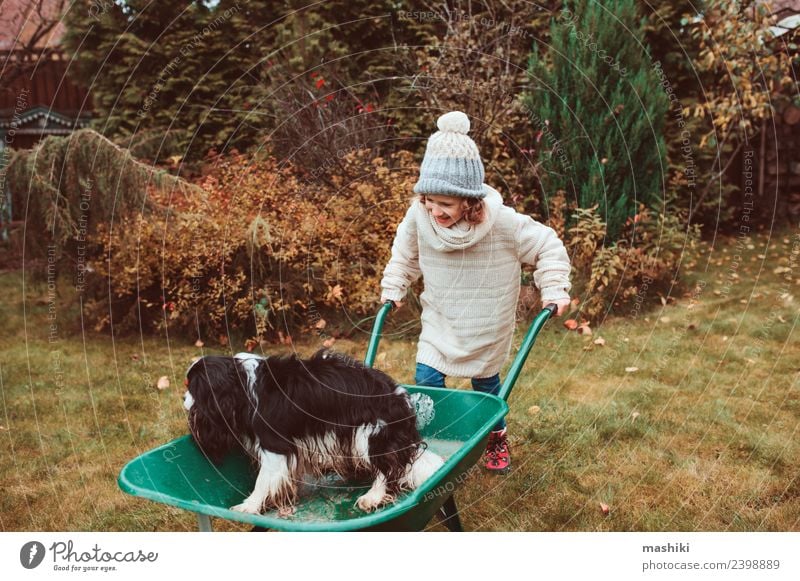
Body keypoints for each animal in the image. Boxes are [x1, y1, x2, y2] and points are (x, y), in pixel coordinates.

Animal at [183, 348, 444, 512]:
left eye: (190, 387)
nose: (182, 398)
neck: (240, 385)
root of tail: (401, 398)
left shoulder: (274, 446)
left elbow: (263, 481)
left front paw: (249, 506)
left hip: (369, 432)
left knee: (388, 467)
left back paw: (373, 496)